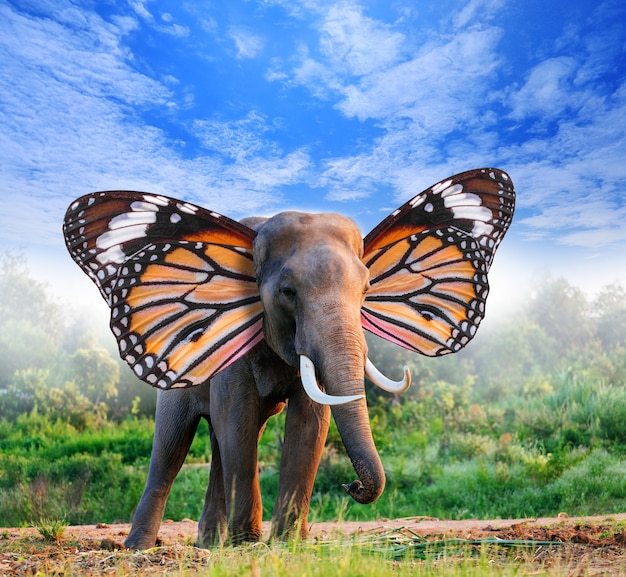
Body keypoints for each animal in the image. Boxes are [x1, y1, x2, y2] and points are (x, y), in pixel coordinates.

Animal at [62, 168, 512, 548]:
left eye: (367, 288)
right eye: (288, 292)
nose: (350, 487)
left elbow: (309, 421)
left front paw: (286, 543)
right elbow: (239, 420)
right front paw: (246, 545)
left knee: (220, 443)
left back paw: (208, 545)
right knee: (173, 446)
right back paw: (141, 548)